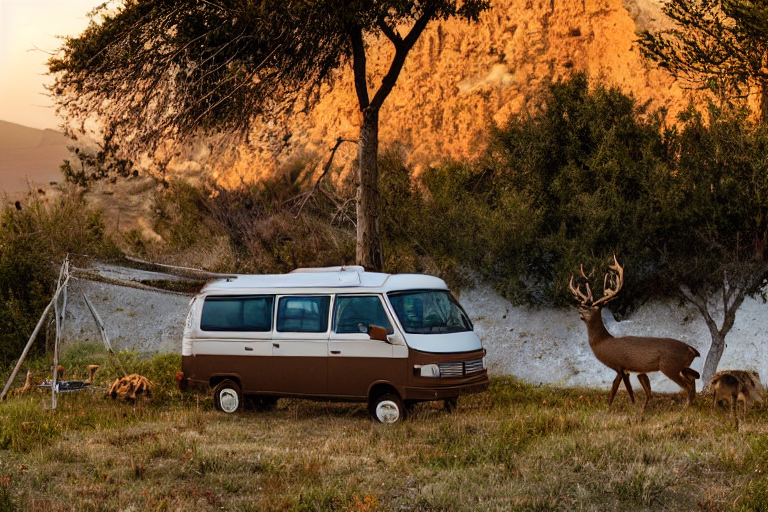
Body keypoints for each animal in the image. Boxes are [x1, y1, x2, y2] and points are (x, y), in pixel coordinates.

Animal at [569, 256, 701, 410]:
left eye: (590, 308)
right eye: (584, 306)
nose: (580, 311)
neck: (603, 342)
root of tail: (692, 350)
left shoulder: (620, 365)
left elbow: (622, 390)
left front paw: (619, 407)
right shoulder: (624, 369)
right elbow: (619, 390)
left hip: (670, 366)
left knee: (688, 385)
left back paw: (685, 408)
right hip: (681, 367)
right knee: (693, 381)